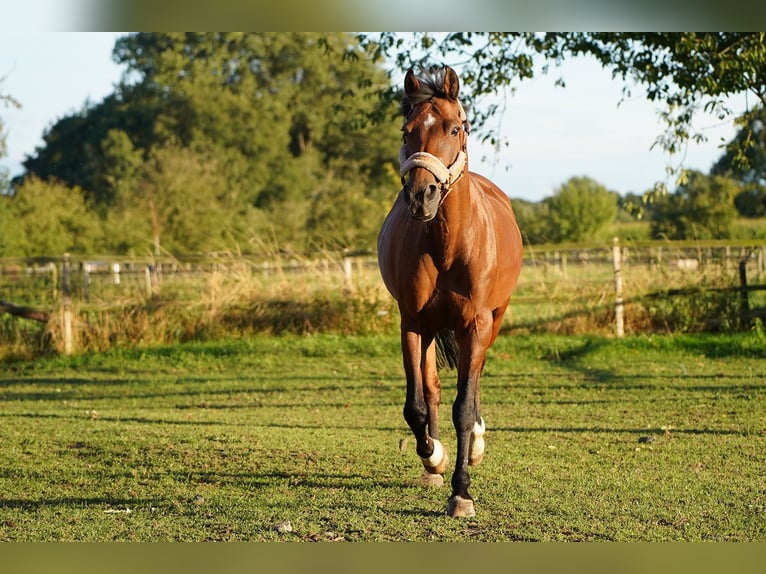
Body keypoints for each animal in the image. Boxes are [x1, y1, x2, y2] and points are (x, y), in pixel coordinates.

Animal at [376, 65, 520, 520]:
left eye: (454, 128)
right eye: (406, 131)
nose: (421, 195)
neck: (448, 244)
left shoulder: (475, 325)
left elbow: (464, 406)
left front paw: (462, 491)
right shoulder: (412, 322)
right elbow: (417, 405)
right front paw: (433, 457)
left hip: (493, 320)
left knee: (472, 384)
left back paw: (475, 444)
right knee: (434, 388)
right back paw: (433, 464)